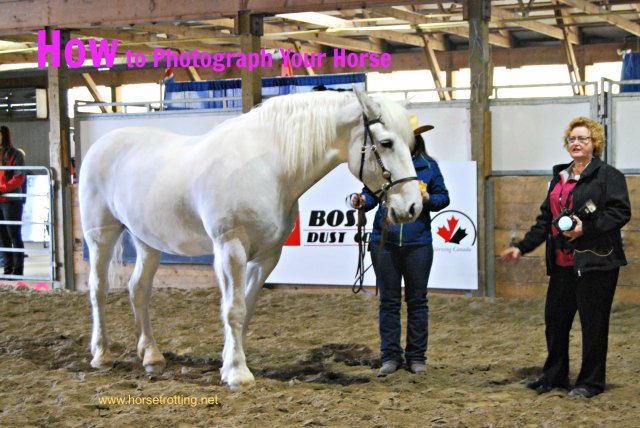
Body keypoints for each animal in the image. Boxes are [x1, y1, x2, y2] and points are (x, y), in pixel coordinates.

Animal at [79, 88, 423, 389]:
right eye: (386, 142)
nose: (413, 207)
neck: (269, 168)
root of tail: (100, 146)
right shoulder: (230, 248)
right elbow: (233, 308)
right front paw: (237, 374)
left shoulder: (267, 256)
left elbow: (247, 307)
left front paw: (229, 362)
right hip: (101, 235)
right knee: (98, 289)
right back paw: (101, 354)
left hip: (146, 241)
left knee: (139, 290)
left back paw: (151, 355)